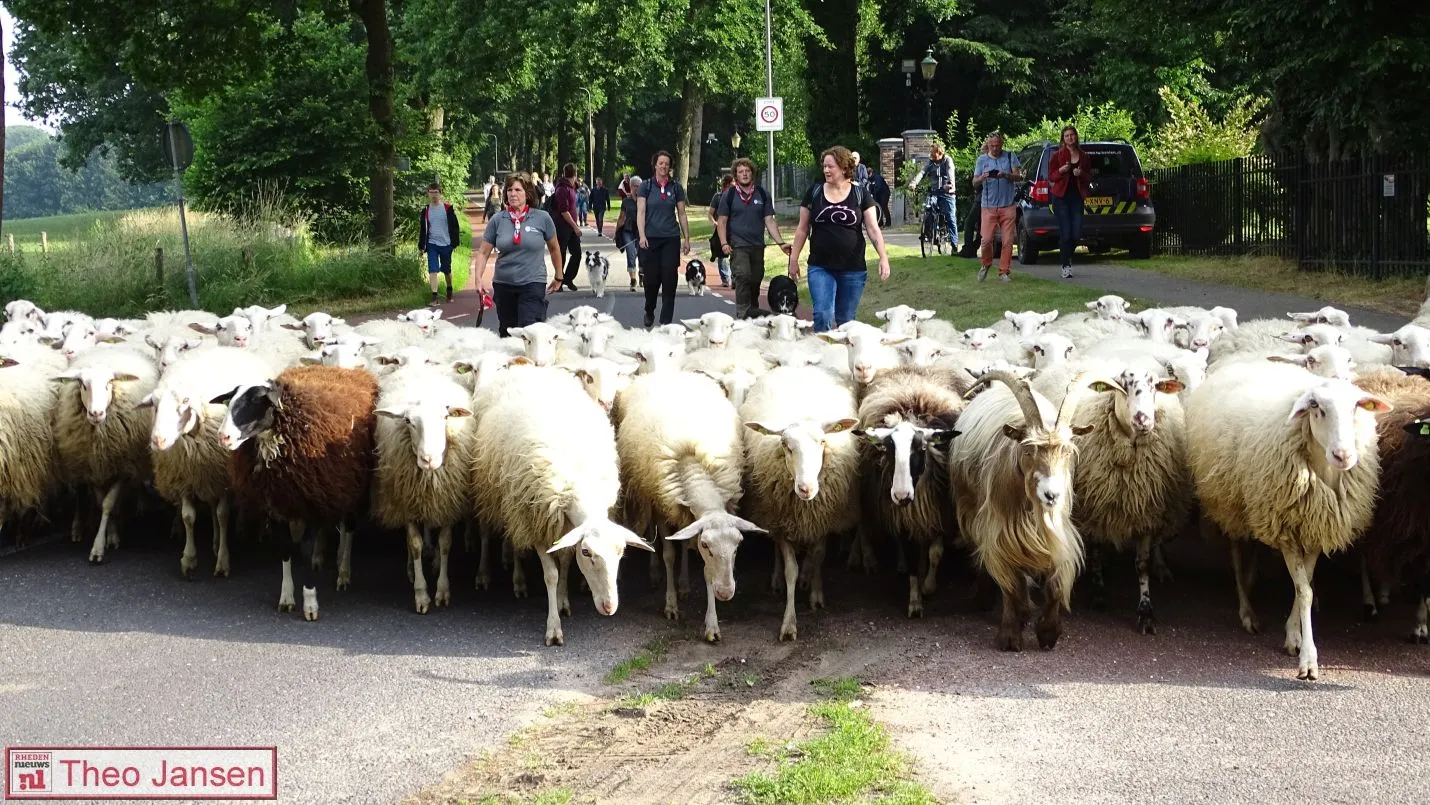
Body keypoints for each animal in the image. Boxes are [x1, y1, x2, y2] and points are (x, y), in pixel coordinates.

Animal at [1184, 361, 1395, 683]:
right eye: (1316, 407)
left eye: (1356, 408)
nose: (1343, 455)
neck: (1324, 471)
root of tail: (1248, 361)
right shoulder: (1286, 531)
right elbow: (1304, 591)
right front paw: (1308, 658)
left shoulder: (1317, 527)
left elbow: (1304, 585)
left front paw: (1293, 636)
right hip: (1229, 501)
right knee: (1236, 557)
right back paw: (1247, 611)